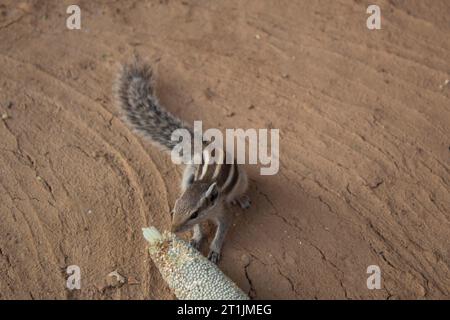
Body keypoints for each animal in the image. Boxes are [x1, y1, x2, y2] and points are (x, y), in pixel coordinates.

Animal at [115, 58, 250, 264]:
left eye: (194, 213)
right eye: (176, 207)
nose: (172, 230)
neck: (203, 185)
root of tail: (203, 147)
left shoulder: (223, 213)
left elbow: (222, 231)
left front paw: (215, 249)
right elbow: (199, 229)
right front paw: (196, 238)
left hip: (242, 179)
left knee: (240, 190)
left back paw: (241, 198)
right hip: (189, 171)